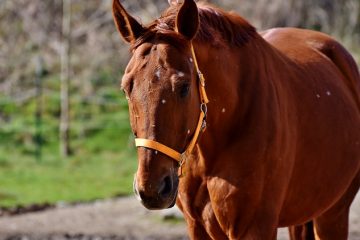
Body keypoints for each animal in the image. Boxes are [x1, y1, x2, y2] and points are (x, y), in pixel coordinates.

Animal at [111, 0, 358, 239]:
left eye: (184, 87)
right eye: (126, 88)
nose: (152, 188)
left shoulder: (256, 227)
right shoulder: (197, 226)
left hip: (333, 214)